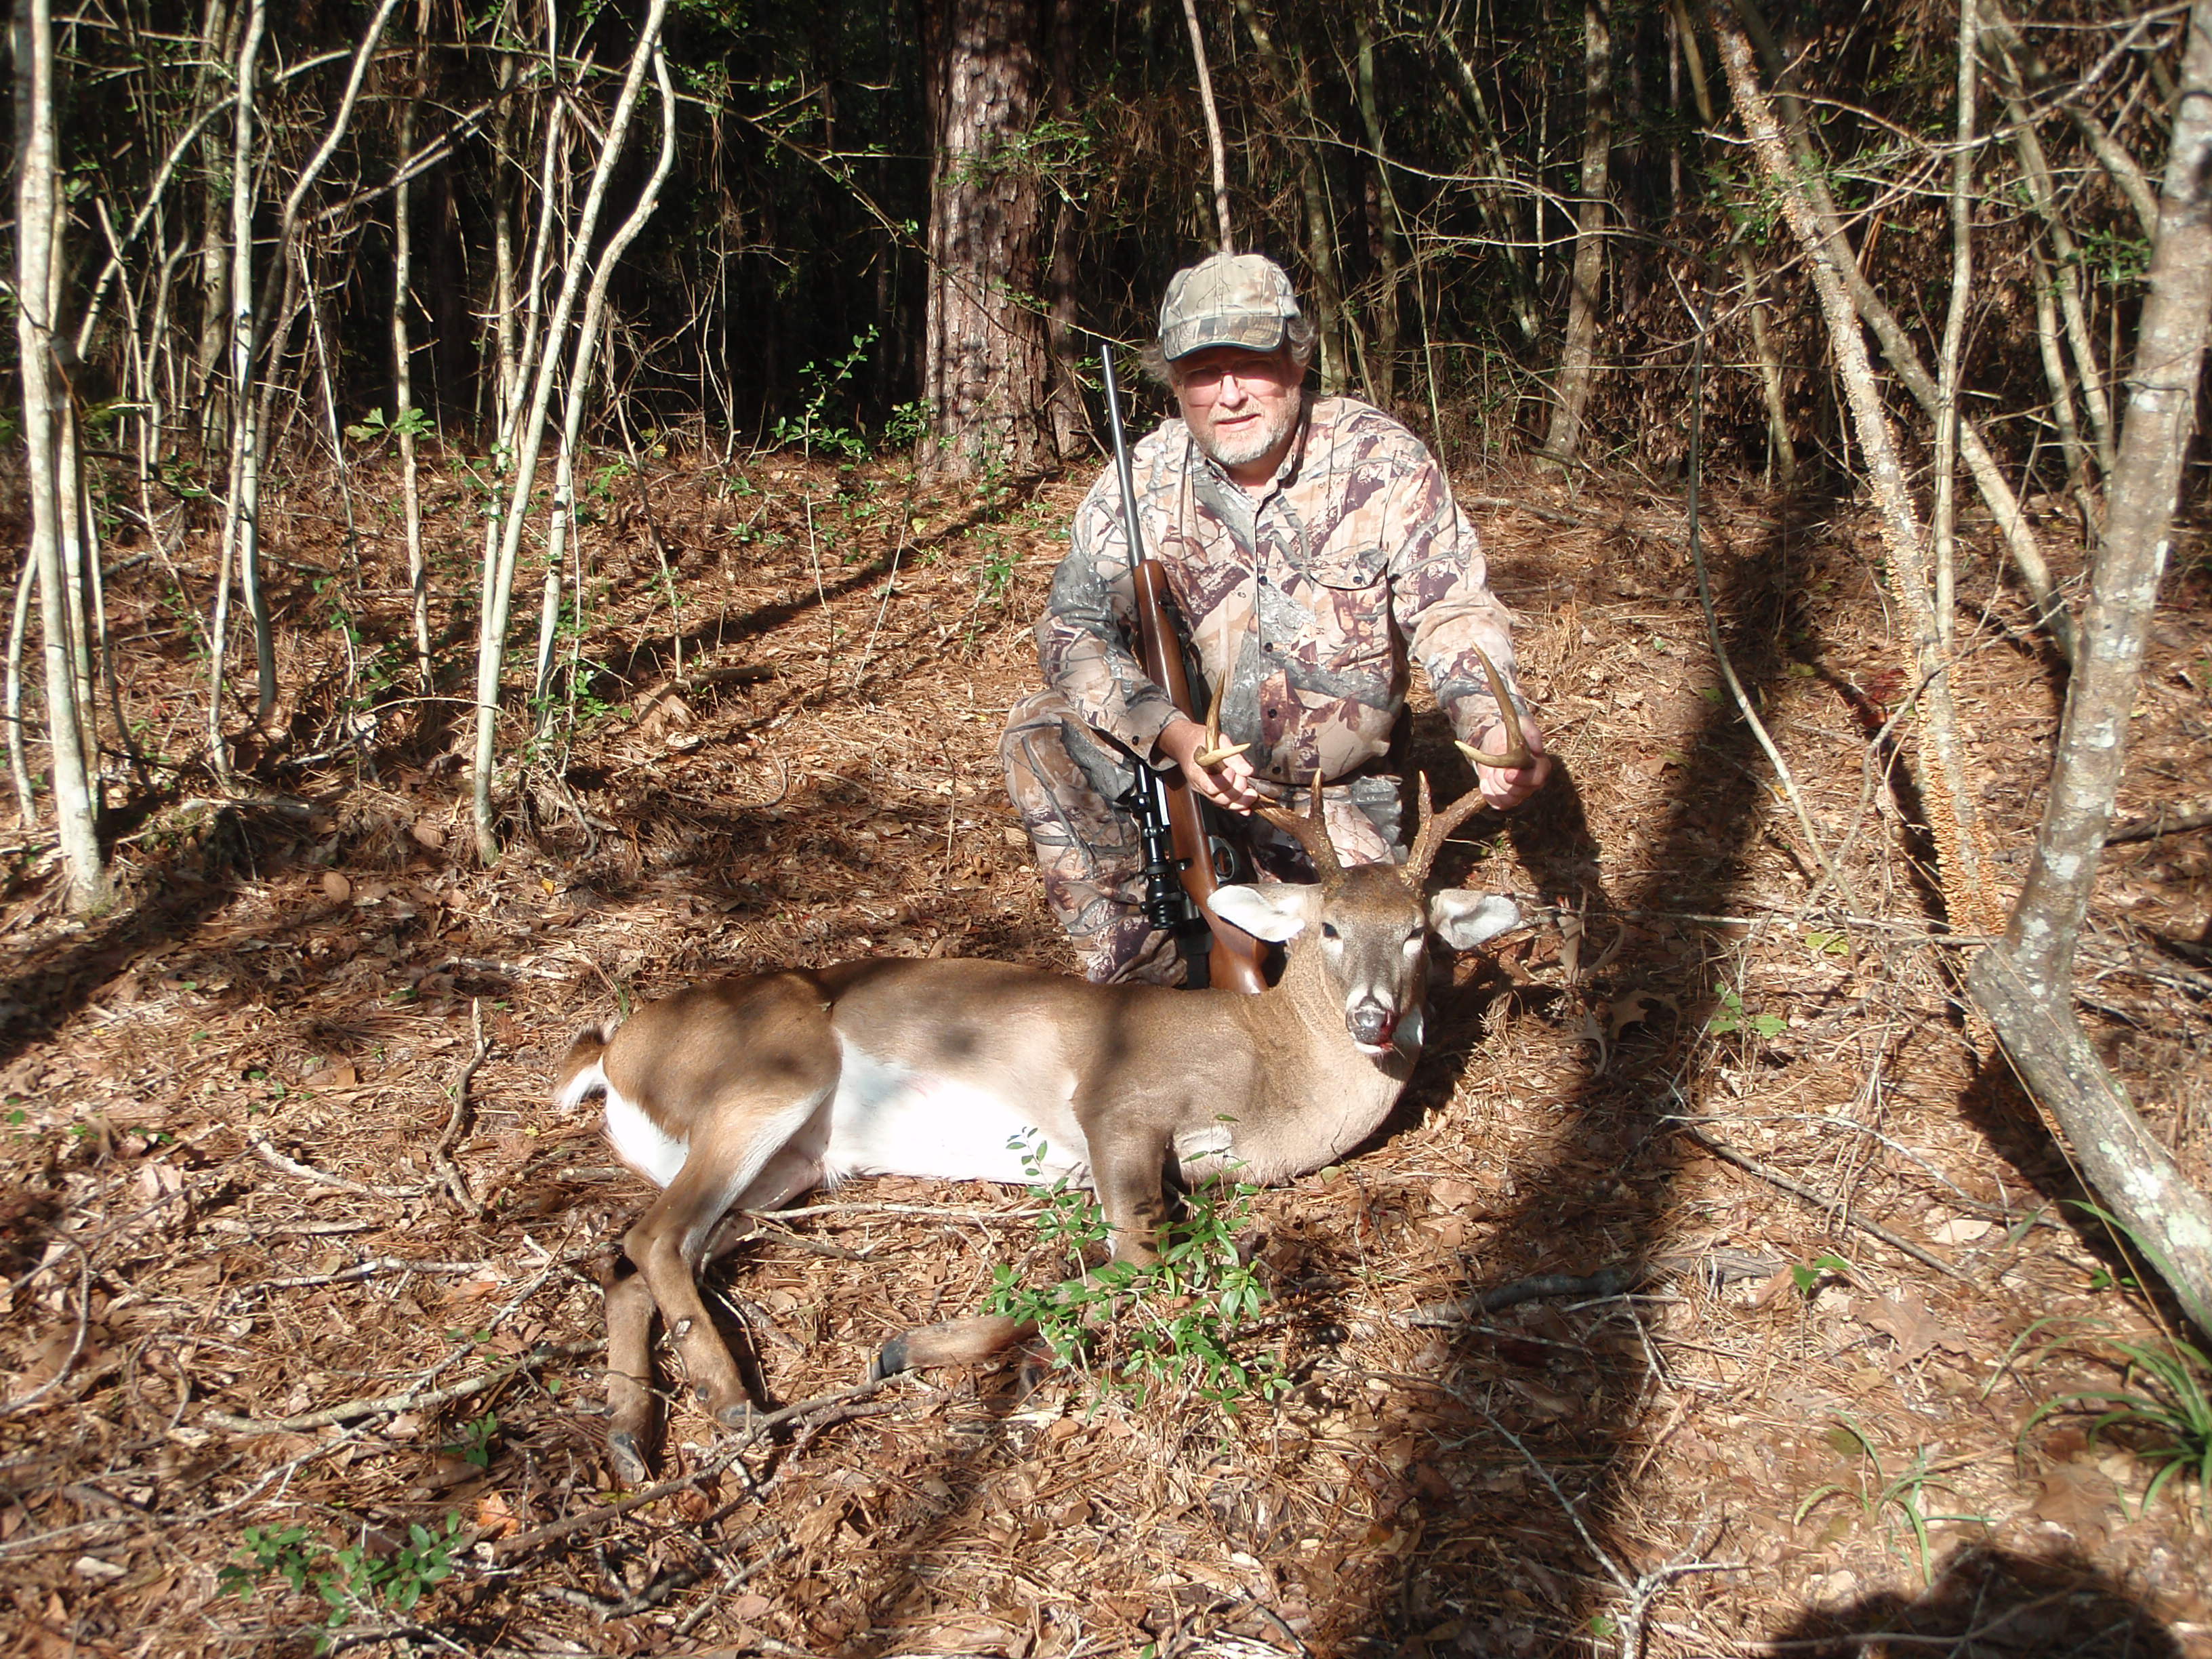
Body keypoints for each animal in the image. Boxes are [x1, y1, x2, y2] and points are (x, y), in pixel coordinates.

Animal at [555, 727, 1530, 1483]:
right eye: (1328, 926)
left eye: (1417, 932)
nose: (1374, 1016)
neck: (1270, 1063)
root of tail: (613, 1050)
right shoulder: (1116, 1103)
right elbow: (1138, 1257)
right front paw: (913, 1345)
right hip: (769, 1079)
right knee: (652, 1236)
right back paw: (730, 1406)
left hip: (788, 1168)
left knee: (632, 1259)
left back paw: (631, 1437)